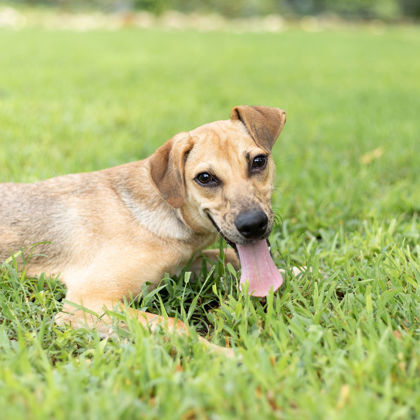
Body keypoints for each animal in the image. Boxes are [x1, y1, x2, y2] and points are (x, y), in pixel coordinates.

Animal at [0, 104, 286, 352]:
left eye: (258, 161)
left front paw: (294, 271)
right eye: (205, 178)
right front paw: (224, 355)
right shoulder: (87, 301)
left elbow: (226, 257)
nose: (253, 224)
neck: (166, 208)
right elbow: (176, 326)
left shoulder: (183, 264)